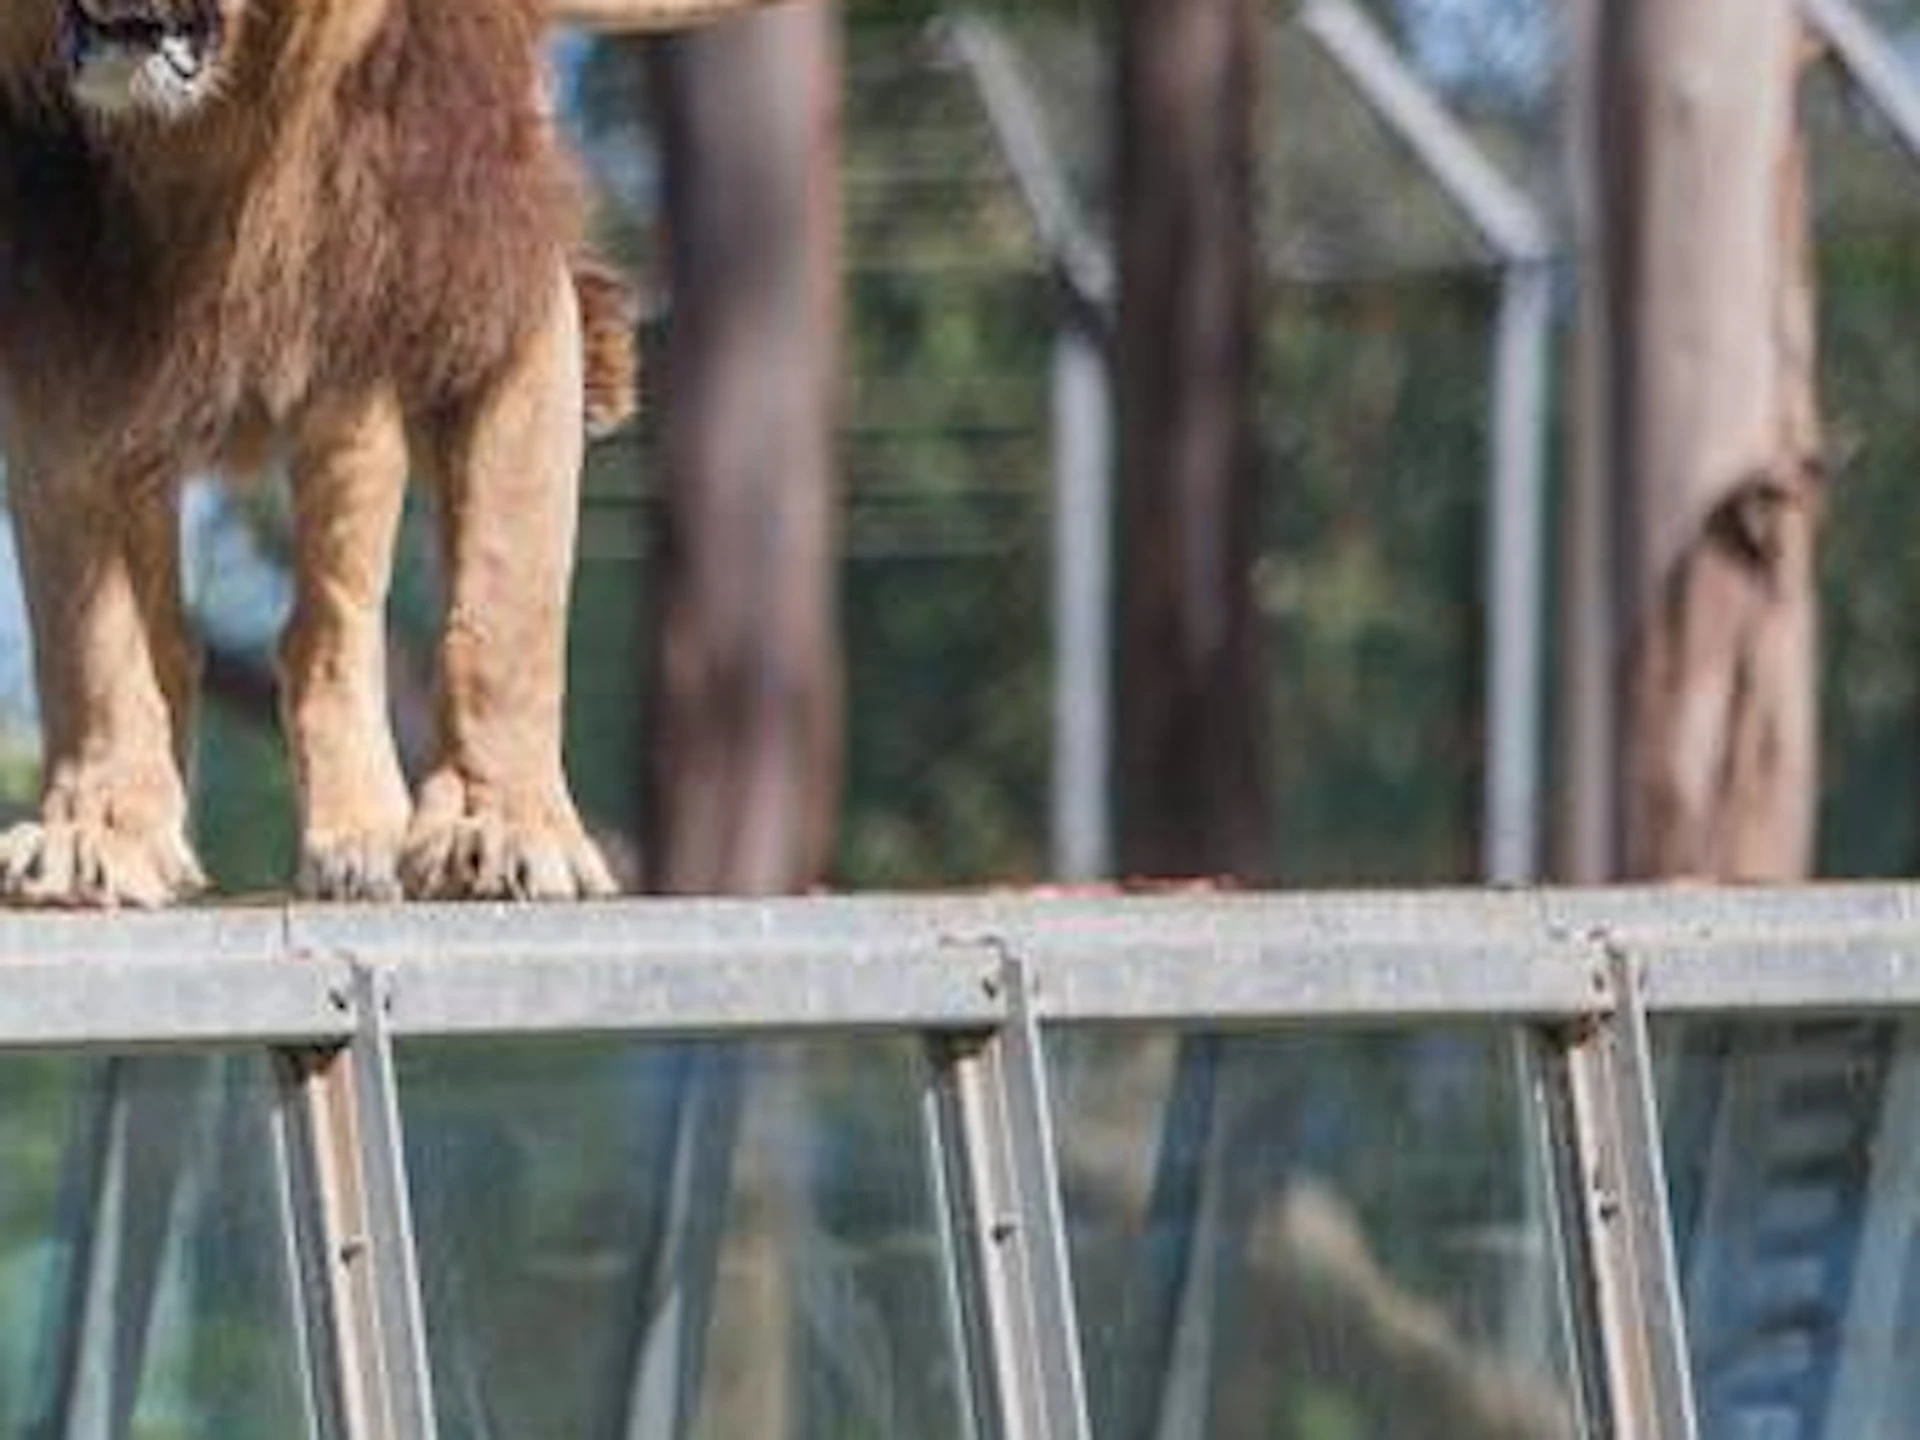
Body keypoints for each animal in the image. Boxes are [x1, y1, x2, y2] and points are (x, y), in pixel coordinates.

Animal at [0, 0, 639, 905]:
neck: (199, 140)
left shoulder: (480, 257)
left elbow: (509, 600)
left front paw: (506, 826)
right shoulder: (57, 323)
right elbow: (89, 637)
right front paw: (96, 834)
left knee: (326, 625)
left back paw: (362, 840)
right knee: (174, 634)